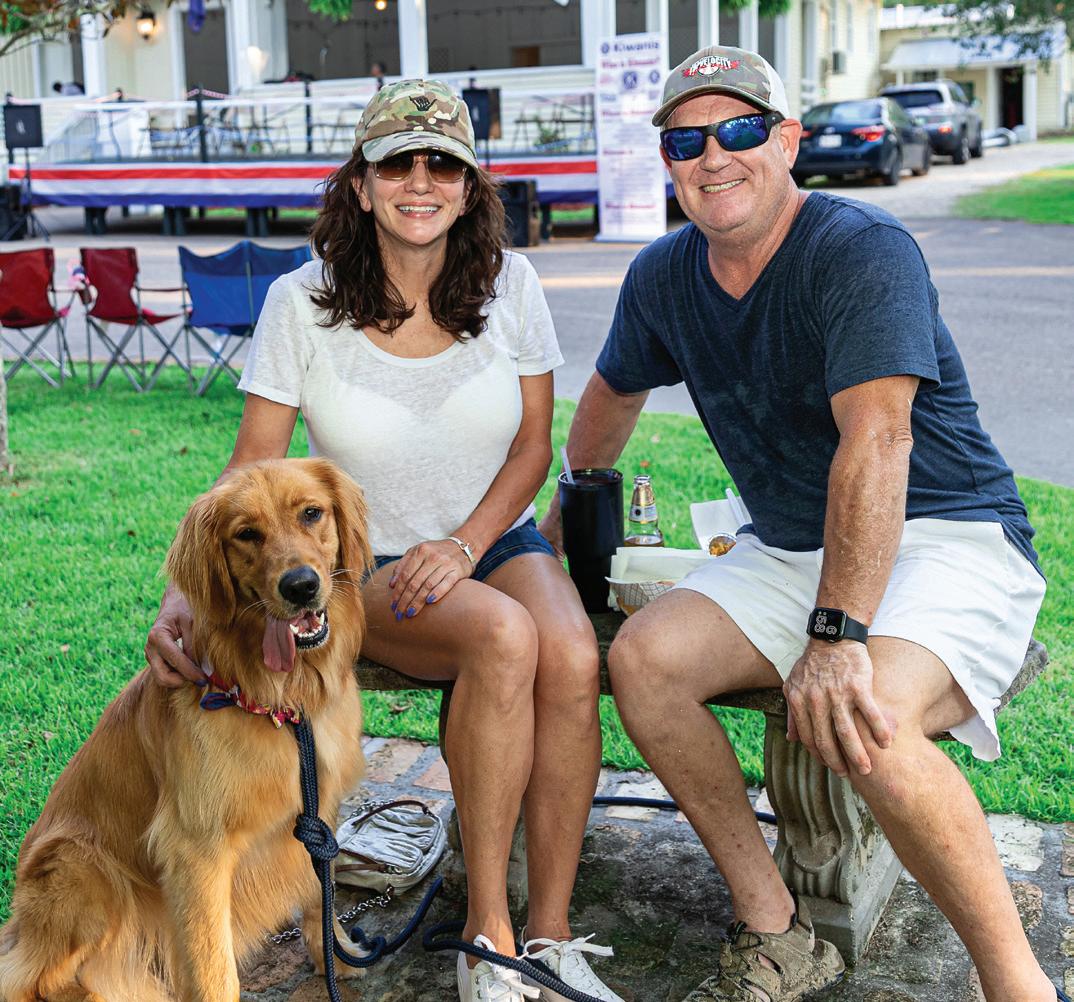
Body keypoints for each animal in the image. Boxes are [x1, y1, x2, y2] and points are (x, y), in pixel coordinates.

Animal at [0, 457, 372, 1001]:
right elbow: (213, 967)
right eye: (246, 534)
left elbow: (318, 893)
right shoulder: (196, 850)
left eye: (311, 513)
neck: (278, 701)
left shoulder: (314, 810)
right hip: (82, 867)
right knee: (27, 978)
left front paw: (336, 957)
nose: (300, 586)